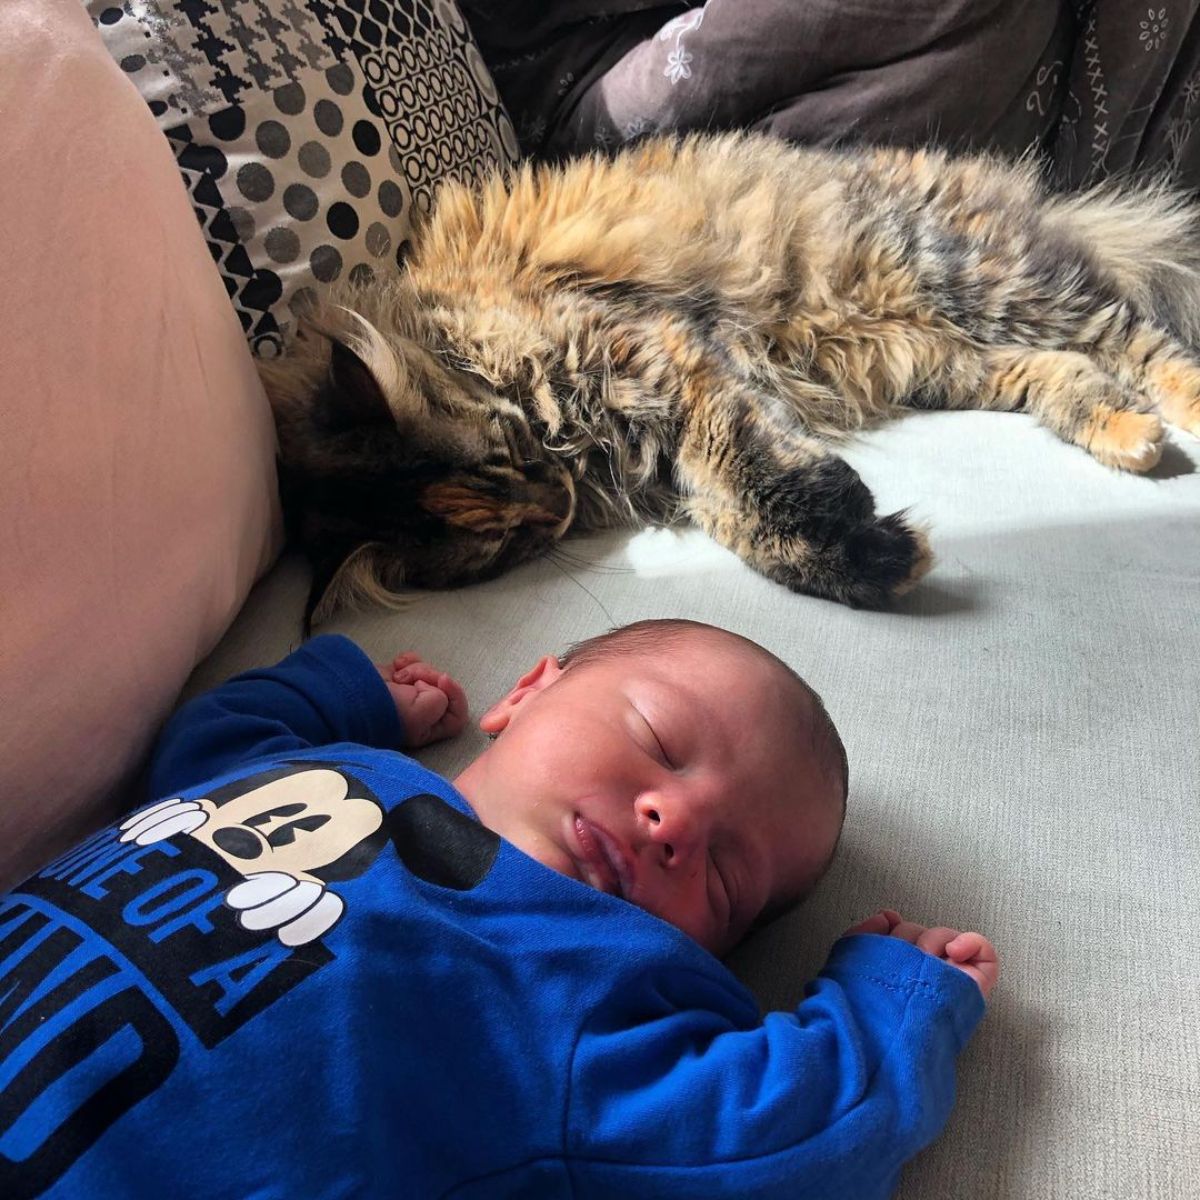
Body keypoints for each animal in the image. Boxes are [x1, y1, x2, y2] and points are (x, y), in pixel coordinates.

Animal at [262, 132, 1200, 624]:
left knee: (1137, 339)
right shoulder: (677, 401)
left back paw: (1182, 411)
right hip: (948, 354)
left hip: (973, 283)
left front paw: (859, 540)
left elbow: (745, 478)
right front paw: (871, 553)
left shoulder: (662, 357)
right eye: (506, 546)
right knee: (1066, 370)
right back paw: (1132, 437)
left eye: (514, 452)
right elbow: (732, 507)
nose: (553, 506)